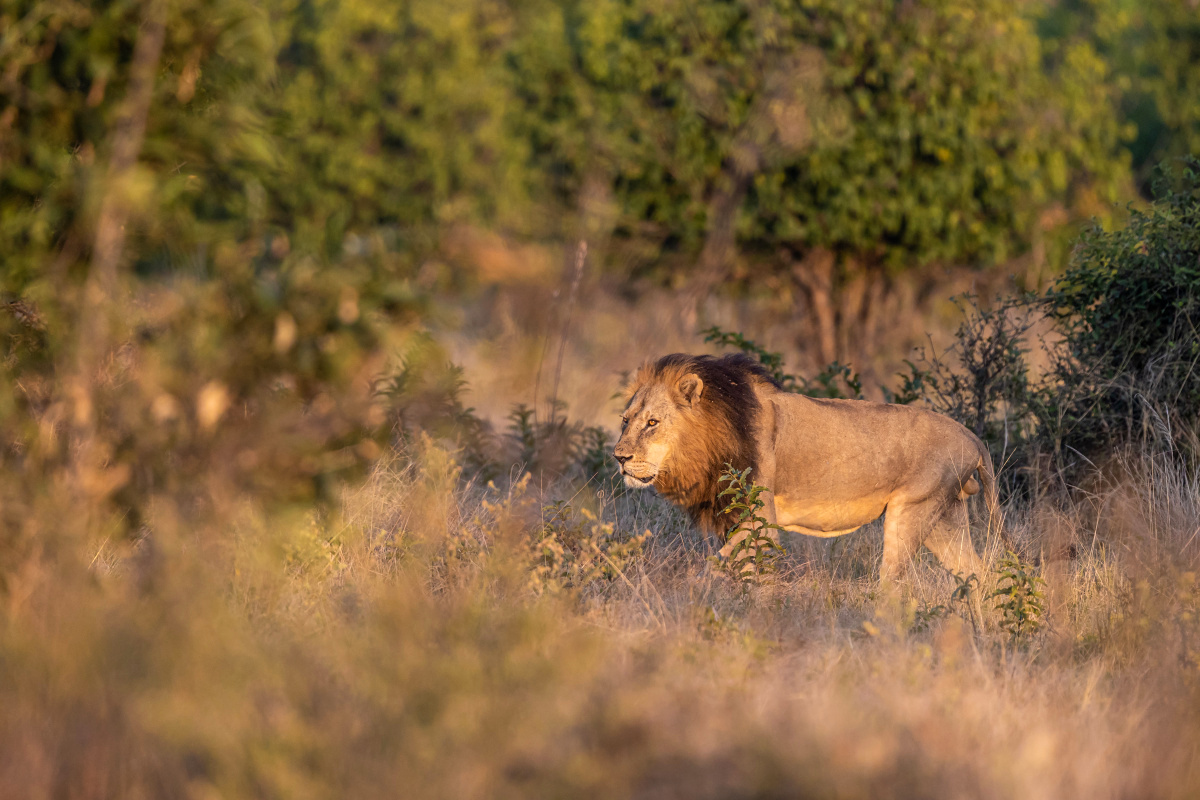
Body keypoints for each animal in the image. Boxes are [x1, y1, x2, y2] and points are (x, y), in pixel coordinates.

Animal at [614, 352, 998, 578]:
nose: (619, 457)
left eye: (652, 423)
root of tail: (970, 435)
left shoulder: (758, 519)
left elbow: (730, 570)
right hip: (944, 518)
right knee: (979, 573)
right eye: (625, 420)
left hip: (911, 512)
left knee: (893, 587)